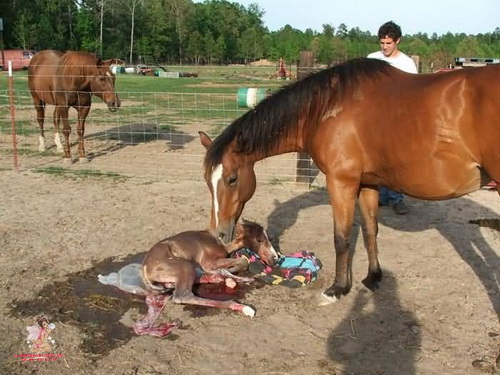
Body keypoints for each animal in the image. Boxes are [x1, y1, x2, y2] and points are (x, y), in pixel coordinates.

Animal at [133, 220, 278, 338]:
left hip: (164, 290)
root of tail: (145, 269)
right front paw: (228, 274)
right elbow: (243, 261)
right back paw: (242, 306)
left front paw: (232, 276)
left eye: (268, 238)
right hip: (185, 266)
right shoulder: (208, 262)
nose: (275, 259)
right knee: (183, 296)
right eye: (259, 240)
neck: (220, 244)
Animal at [199, 58, 500, 306]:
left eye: (232, 178)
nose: (218, 233)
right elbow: (369, 231)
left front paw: (338, 288)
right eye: (206, 181)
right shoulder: (368, 184)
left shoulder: (341, 183)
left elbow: (341, 237)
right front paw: (373, 277)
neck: (326, 108)